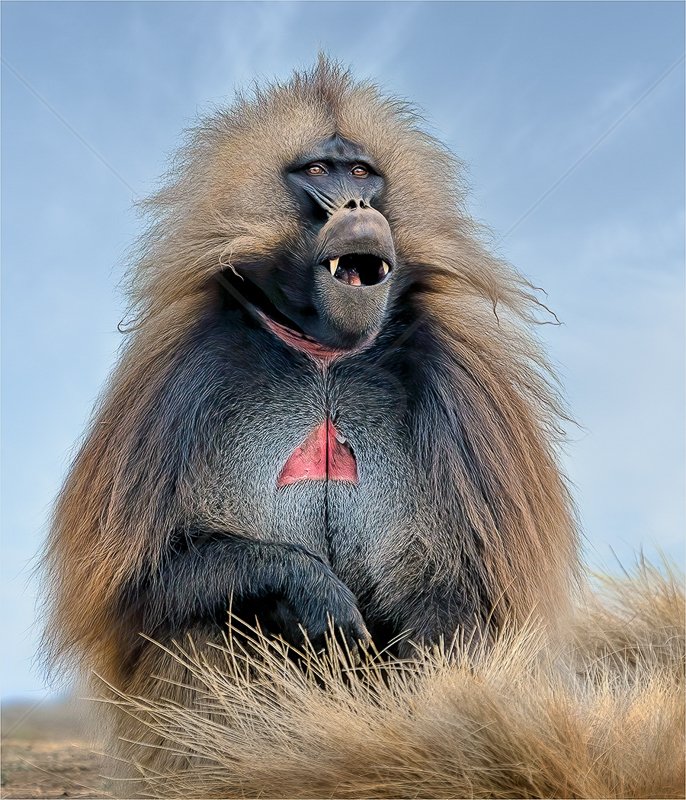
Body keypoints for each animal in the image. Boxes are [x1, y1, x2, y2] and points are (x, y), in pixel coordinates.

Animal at [42, 58, 579, 781]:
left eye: (363, 172)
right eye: (321, 171)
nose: (358, 207)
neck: (324, 357)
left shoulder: (464, 388)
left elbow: (471, 596)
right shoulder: (179, 379)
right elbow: (139, 584)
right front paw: (314, 590)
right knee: (205, 620)